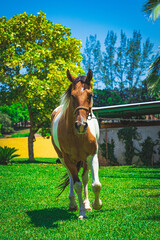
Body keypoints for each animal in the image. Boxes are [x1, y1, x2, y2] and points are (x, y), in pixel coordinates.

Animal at [50, 69, 102, 219]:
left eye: (90, 95)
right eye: (72, 96)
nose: (81, 125)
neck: (77, 136)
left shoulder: (92, 155)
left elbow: (95, 184)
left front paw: (95, 204)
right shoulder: (68, 159)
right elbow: (77, 184)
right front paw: (82, 213)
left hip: (84, 160)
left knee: (85, 179)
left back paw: (87, 204)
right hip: (64, 159)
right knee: (71, 178)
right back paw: (73, 203)